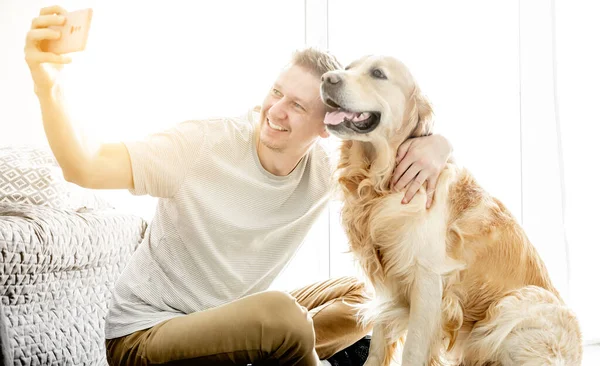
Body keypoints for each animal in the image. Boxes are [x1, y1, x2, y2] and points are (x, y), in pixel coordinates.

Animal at [322, 55, 584, 366]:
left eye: (377, 73)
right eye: (348, 68)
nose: (326, 79)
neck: (380, 183)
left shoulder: (427, 279)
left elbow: (413, 350)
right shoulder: (389, 280)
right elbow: (378, 346)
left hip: (513, 306)